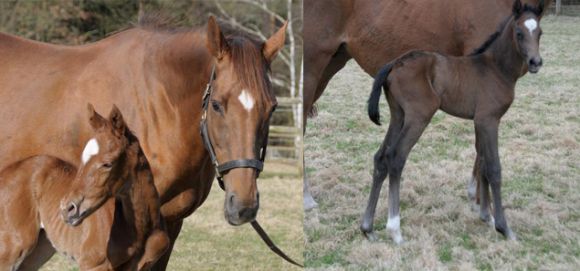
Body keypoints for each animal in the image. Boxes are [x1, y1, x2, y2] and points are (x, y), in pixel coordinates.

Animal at [0, 105, 168, 270]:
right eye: (82, 158)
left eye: (107, 164)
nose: (66, 209)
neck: (138, 230)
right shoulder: (93, 264)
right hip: (13, 248)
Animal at [360, 0, 548, 244]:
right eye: (519, 32)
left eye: (540, 33)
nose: (535, 62)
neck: (496, 69)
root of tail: (395, 63)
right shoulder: (489, 120)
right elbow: (494, 168)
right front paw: (504, 227)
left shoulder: (480, 121)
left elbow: (483, 162)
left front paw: (486, 216)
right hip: (419, 115)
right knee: (396, 157)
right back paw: (395, 230)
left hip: (398, 116)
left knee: (381, 157)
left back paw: (367, 227)